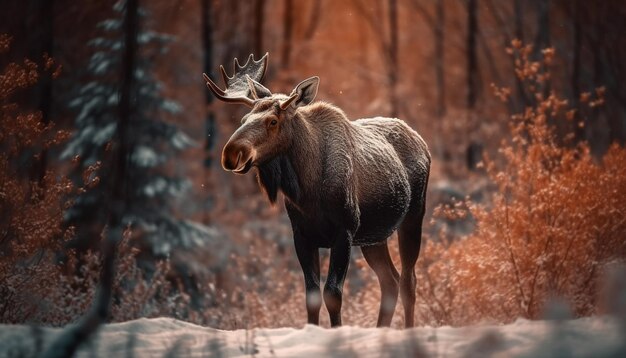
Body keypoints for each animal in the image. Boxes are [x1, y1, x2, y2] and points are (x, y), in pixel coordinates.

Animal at [205, 53, 428, 328]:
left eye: (273, 121)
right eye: (243, 120)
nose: (231, 154)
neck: (307, 190)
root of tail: (423, 143)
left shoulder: (344, 231)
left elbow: (333, 293)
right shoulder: (302, 235)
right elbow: (311, 296)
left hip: (413, 218)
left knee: (409, 280)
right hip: (374, 237)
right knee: (390, 281)